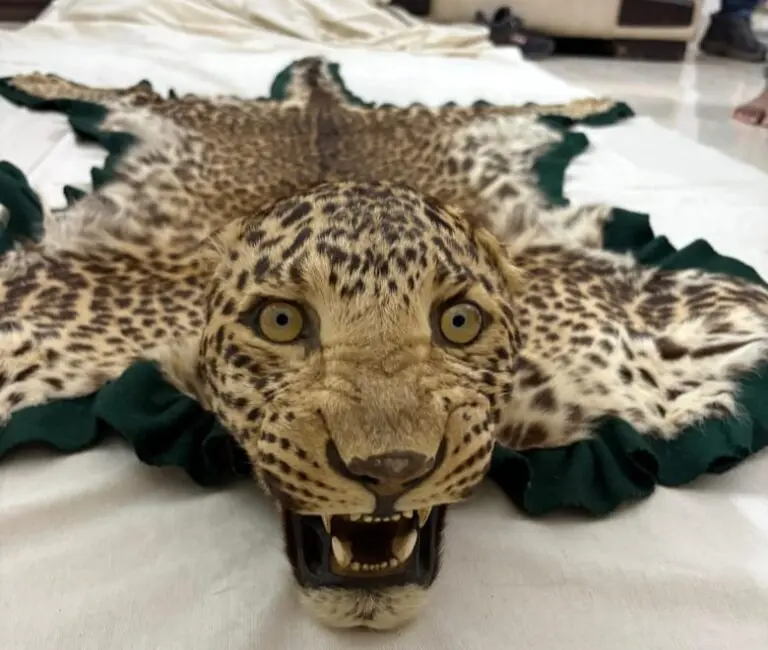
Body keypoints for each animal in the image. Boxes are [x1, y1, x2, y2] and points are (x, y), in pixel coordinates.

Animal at [1, 57, 768, 631]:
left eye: (459, 323)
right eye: (281, 323)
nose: (390, 471)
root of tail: (319, 103)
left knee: (501, 105)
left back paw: (596, 95)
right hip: (198, 117)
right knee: (131, 93)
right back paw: (34, 77)